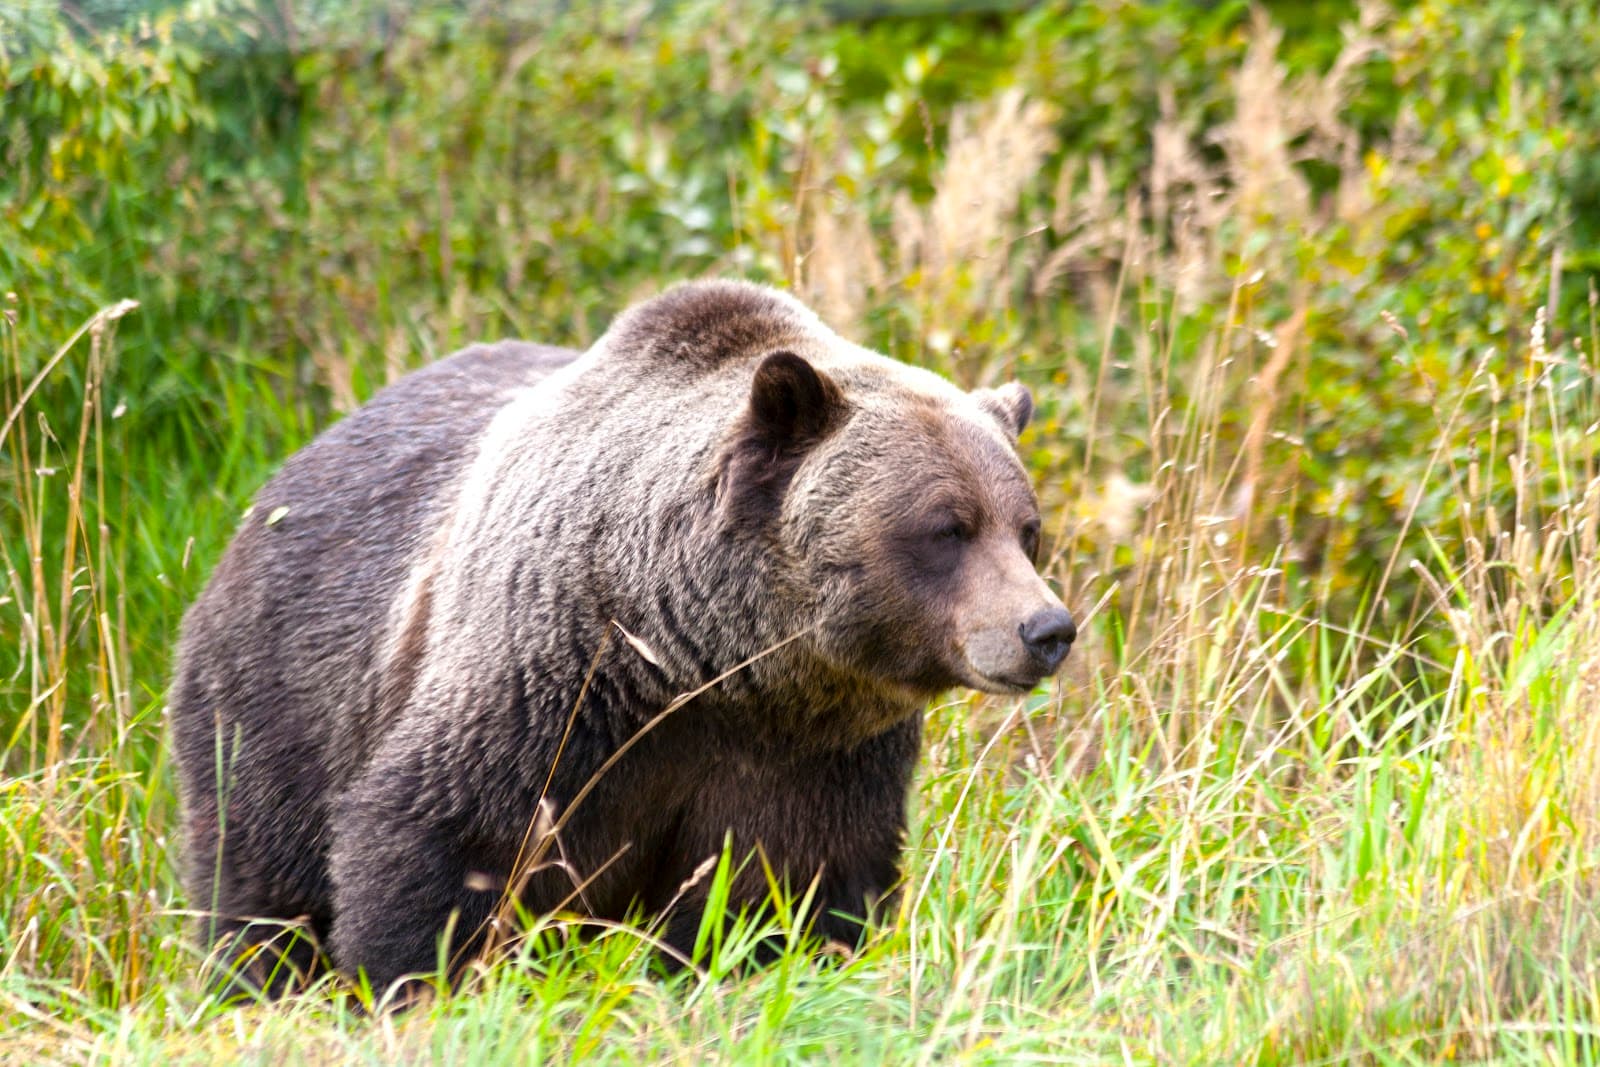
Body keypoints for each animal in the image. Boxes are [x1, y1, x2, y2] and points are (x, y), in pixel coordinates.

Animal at [169, 280, 1076, 996]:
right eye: (946, 526)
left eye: (1025, 527)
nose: (1047, 629)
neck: (712, 659)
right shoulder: (551, 690)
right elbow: (437, 833)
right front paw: (411, 978)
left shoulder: (812, 752)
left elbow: (796, 886)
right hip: (280, 690)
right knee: (257, 872)